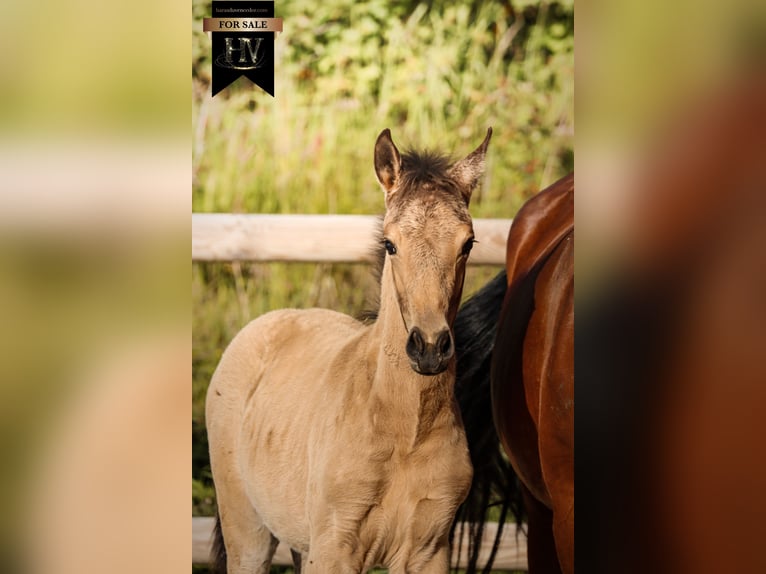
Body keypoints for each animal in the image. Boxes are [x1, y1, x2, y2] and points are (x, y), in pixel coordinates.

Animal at [206, 127, 493, 573]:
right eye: (390, 244)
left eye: (468, 244)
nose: (429, 347)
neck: (403, 430)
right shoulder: (335, 550)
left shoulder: (429, 549)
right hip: (248, 532)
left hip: (300, 541)